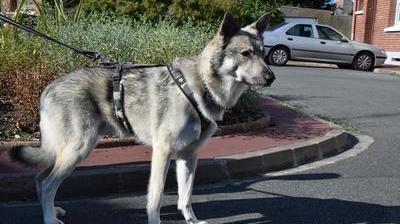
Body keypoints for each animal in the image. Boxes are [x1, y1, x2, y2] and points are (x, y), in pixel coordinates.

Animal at [8, 12, 276, 224]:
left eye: (264, 54)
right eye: (246, 53)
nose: (271, 77)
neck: (199, 85)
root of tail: (48, 88)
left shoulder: (188, 157)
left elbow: (186, 198)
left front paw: (192, 221)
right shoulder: (162, 152)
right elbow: (155, 199)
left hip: (68, 152)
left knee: (40, 180)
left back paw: (53, 211)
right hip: (78, 150)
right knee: (47, 184)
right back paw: (50, 219)